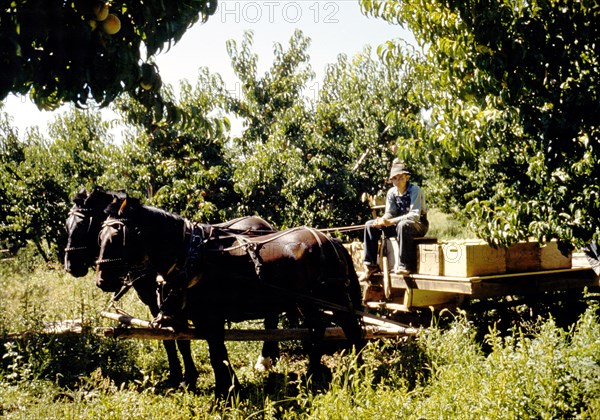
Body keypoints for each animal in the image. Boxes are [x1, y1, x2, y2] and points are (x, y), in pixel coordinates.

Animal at [64, 189, 280, 388]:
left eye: (83, 225)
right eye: (67, 225)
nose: (70, 266)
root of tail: (263, 223)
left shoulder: (174, 306)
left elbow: (180, 340)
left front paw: (186, 378)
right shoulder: (159, 306)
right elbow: (170, 338)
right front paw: (179, 376)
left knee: (271, 319)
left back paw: (265, 360)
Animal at [96, 195, 364, 398]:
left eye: (117, 237)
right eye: (99, 237)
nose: (101, 281)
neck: (191, 255)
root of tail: (332, 240)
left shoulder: (210, 317)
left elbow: (216, 354)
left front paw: (225, 390)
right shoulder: (193, 316)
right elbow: (202, 349)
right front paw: (223, 385)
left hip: (333, 297)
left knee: (352, 329)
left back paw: (358, 371)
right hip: (305, 303)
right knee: (317, 330)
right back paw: (312, 375)